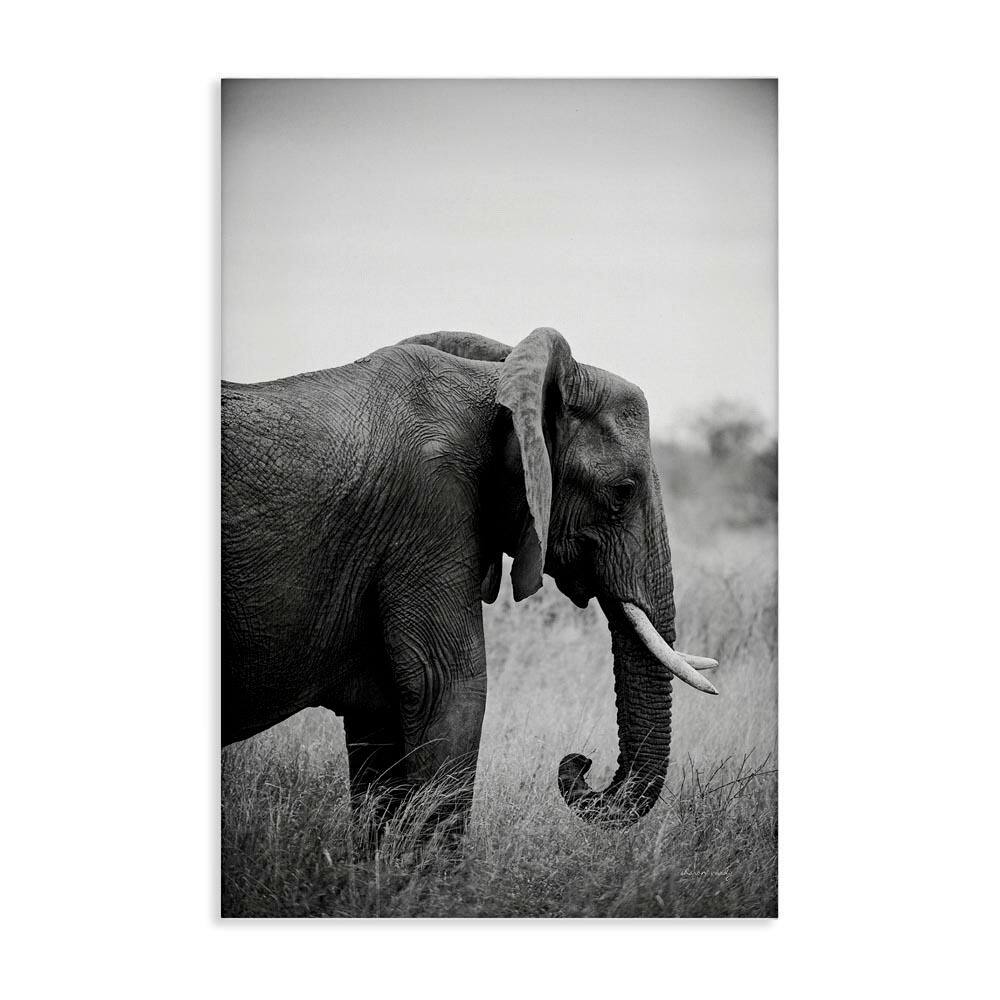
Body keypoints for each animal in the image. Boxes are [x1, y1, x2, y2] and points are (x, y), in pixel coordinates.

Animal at [222, 327, 718, 832]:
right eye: (622, 492)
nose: (579, 762)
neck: (496, 388)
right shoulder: (429, 511)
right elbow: (448, 688)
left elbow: (382, 716)